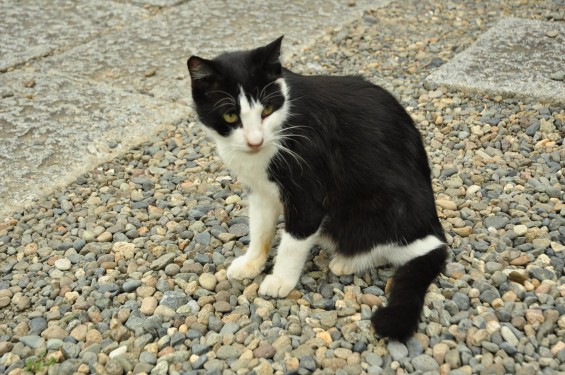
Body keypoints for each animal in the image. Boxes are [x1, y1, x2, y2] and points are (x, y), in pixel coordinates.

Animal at [187, 36, 448, 342]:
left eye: (266, 110)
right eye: (230, 116)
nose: (255, 141)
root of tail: (434, 230)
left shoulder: (308, 189)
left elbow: (293, 240)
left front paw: (280, 280)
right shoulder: (261, 190)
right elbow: (260, 229)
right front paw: (252, 262)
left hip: (385, 206)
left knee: (391, 245)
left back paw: (347, 261)